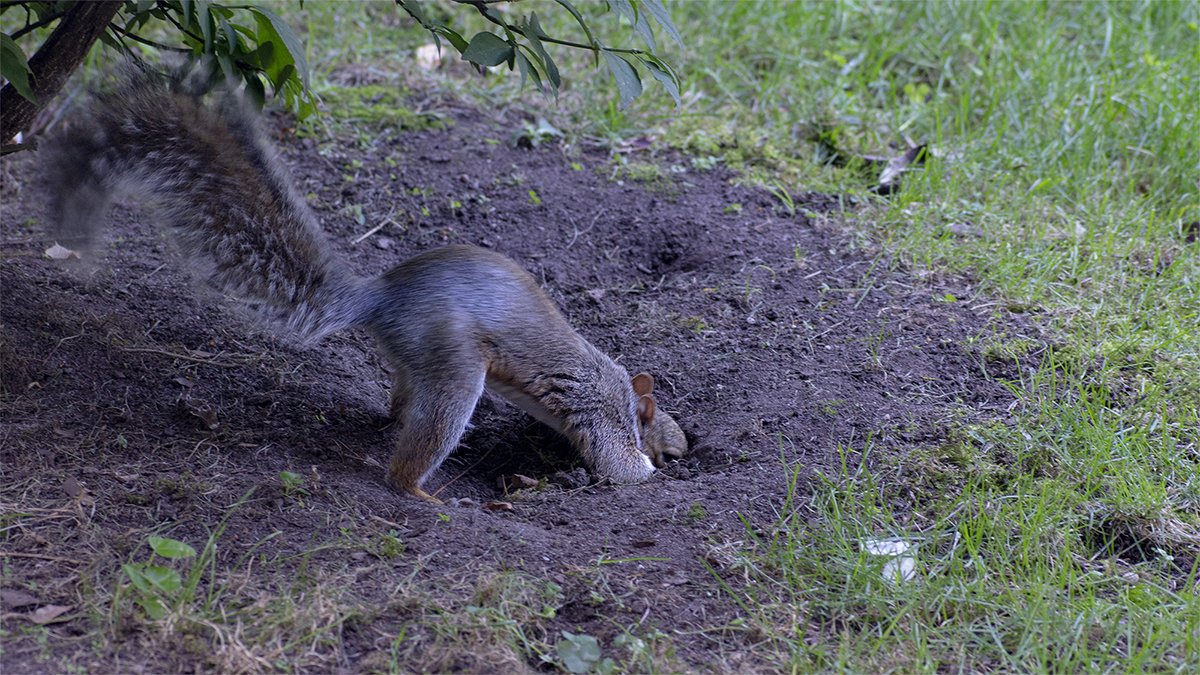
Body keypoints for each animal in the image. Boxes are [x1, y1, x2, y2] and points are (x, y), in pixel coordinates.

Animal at [44, 69, 686, 499]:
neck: (621, 388)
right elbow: (616, 461)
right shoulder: (599, 408)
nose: (682, 456)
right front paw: (646, 473)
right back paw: (419, 490)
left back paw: (393, 422)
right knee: (416, 449)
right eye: (666, 437)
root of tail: (380, 297)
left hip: (419, 360)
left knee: (402, 400)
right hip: (455, 361)